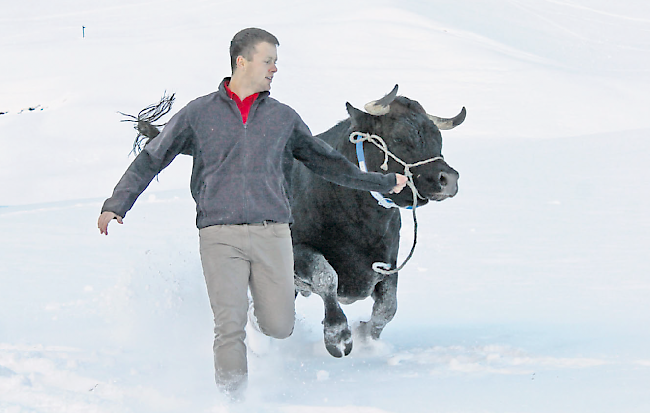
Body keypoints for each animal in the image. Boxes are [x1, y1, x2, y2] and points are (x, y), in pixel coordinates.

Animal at [288, 85, 460, 356]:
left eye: (438, 139)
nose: (449, 179)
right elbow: (326, 276)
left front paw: (366, 336)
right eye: (399, 137)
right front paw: (338, 335)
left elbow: (388, 305)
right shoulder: (296, 251)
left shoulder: (387, 262)